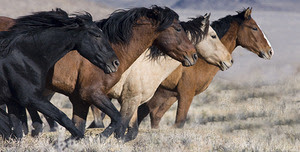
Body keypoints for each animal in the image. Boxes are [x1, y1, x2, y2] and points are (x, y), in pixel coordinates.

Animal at [0, 8, 119, 139]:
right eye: (97, 35)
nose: (115, 63)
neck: (25, 55)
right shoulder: (31, 98)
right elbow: (63, 117)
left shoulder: (14, 102)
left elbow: (16, 130)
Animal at [137, 7, 274, 128]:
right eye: (254, 28)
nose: (270, 51)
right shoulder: (185, 94)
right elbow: (178, 122)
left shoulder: (169, 94)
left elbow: (155, 118)